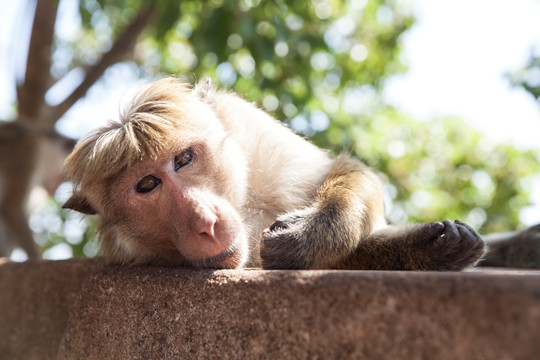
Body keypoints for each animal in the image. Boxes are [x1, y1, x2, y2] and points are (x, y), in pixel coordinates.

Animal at [61, 78, 520, 270]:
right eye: (147, 185)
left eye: (184, 159)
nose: (204, 221)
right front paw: (428, 251)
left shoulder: (249, 129)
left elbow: (342, 170)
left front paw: (317, 232)